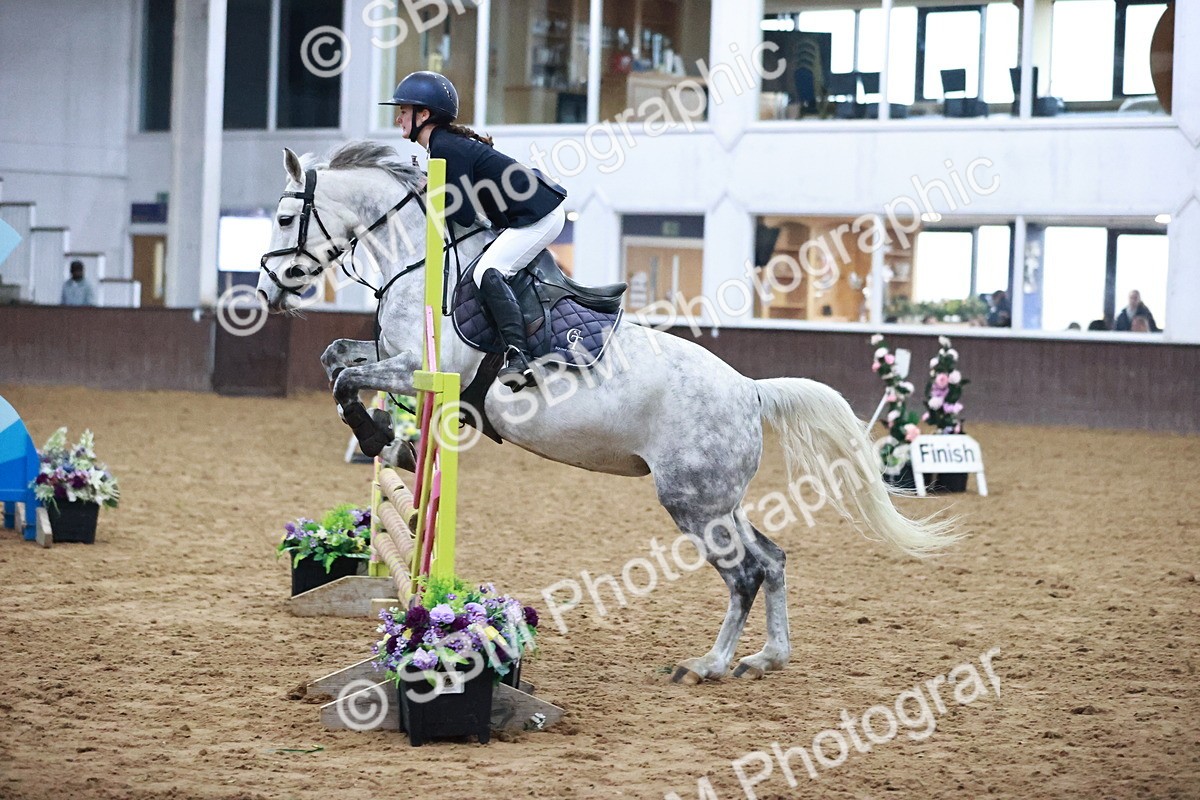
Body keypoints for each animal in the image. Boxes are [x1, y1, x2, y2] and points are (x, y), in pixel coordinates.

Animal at [256, 141, 959, 684]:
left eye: (287, 214)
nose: (267, 291)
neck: (416, 259)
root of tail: (750, 390)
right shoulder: (393, 357)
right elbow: (335, 357)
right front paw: (391, 440)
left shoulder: (419, 366)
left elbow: (346, 376)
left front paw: (376, 433)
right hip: (717, 498)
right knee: (774, 560)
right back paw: (767, 658)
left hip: (692, 503)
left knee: (745, 575)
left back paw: (708, 664)